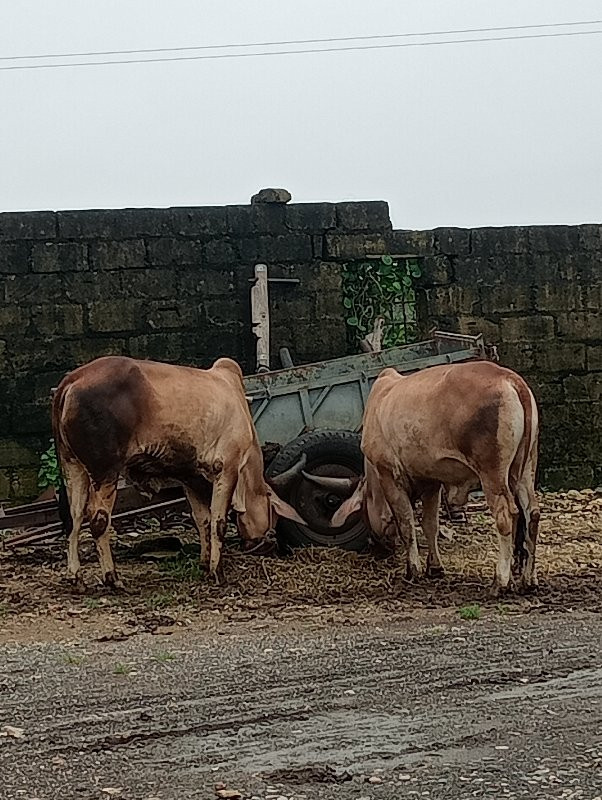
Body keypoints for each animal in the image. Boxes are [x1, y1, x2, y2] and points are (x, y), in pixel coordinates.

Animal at [51, 356, 304, 588]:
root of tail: (71, 381)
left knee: (74, 518)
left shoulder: (189, 476)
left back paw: (75, 576)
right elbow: (218, 522)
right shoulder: (227, 468)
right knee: (98, 519)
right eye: (273, 514)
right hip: (105, 471)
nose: (269, 546)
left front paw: (204, 564)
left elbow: (202, 520)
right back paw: (112, 578)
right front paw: (217, 572)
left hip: (72, 466)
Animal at [304, 360, 540, 592]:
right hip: (526, 469)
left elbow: (406, 525)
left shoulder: (390, 477)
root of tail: (510, 379)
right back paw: (528, 579)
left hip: (492, 473)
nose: (376, 547)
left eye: (362, 511)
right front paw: (434, 567)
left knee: (506, 515)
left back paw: (501, 581)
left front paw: (413, 570)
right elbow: (430, 525)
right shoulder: (431, 482)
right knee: (532, 513)